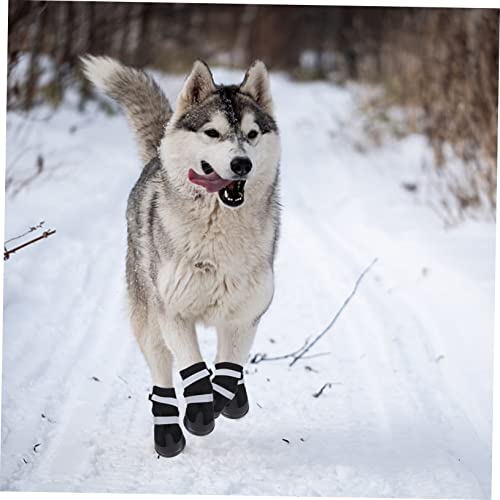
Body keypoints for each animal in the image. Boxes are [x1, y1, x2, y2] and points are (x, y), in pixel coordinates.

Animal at [80, 55, 280, 458]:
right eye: (213, 133)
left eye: (252, 134)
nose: (242, 164)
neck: (219, 235)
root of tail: (155, 158)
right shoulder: (172, 312)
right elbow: (194, 372)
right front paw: (199, 413)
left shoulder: (246, 316)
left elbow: (227, 375)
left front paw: (226, 400)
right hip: (147, 321)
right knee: (161, 374)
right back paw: (168, 433)